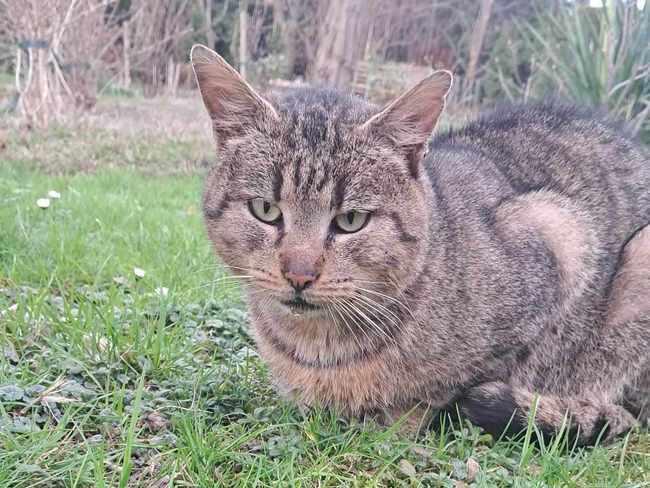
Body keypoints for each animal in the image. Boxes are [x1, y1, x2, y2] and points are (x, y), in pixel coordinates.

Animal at [189, 45, 648, 446]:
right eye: (265, 210)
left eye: (351, 220)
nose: (299, 274)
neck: (316, 348)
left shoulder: (560, 233)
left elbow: (454, 387)